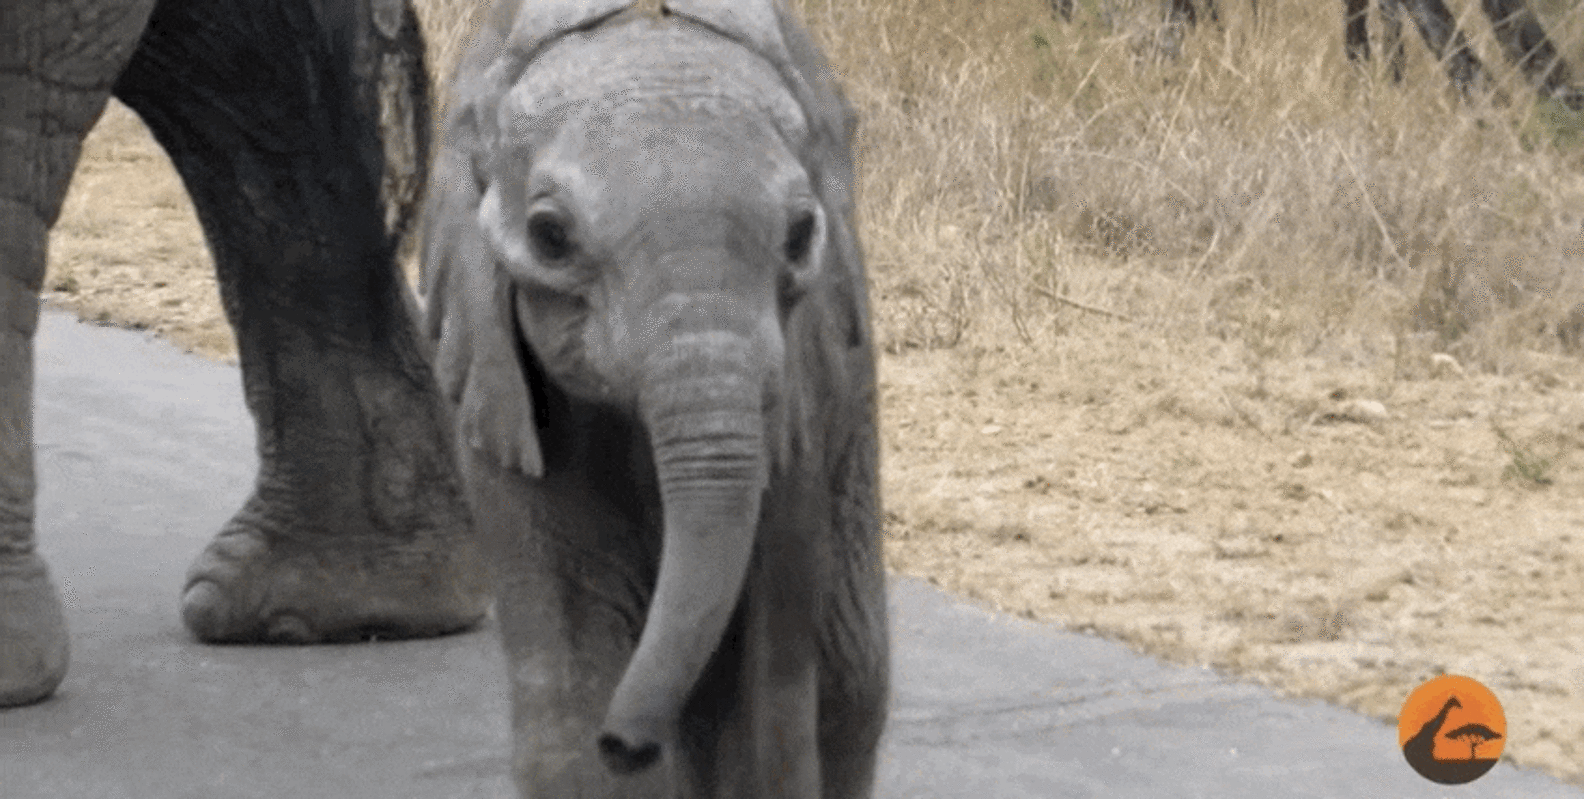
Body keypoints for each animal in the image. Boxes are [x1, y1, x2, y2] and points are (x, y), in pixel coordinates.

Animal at [419, 0, 890, 795]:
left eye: (801, 235)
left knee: (854, 683)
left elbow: (764, 707)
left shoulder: (802, 387)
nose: (626, 742)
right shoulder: (495, 384)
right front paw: (605, 748)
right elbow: (572, 676)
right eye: (549, 236)